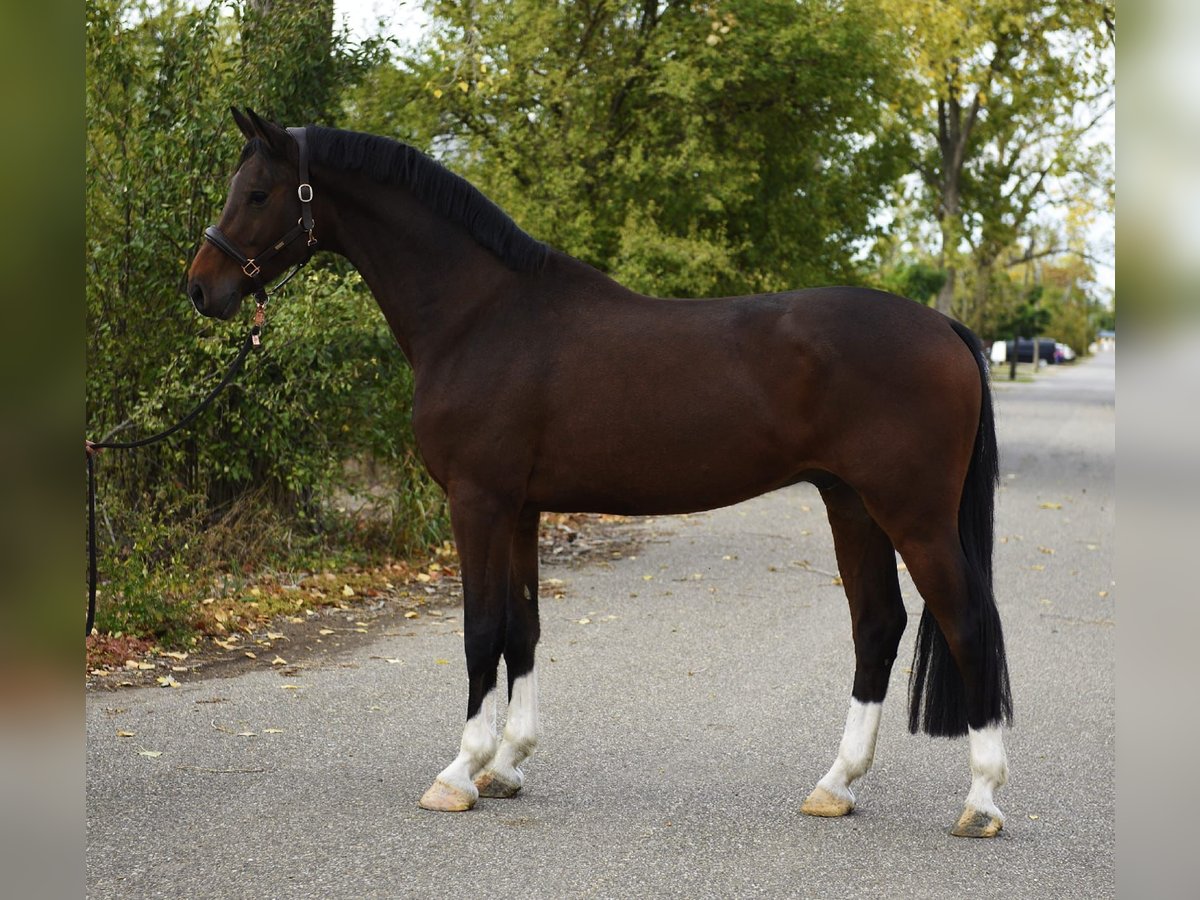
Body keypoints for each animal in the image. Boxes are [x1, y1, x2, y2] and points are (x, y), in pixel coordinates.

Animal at [187, 108, 1013, 837]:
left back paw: (981, 802)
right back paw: (836, 785)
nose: (201, 288)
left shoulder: (477, 501)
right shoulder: (520, 508)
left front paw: (460, 772)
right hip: (853, 505)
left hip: (913, 514)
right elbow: (521, 626)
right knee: (877, 626)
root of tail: (945, 328)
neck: (480, 315)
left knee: (968, 622)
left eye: (257, 193)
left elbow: (479, 629)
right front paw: (507, 765)